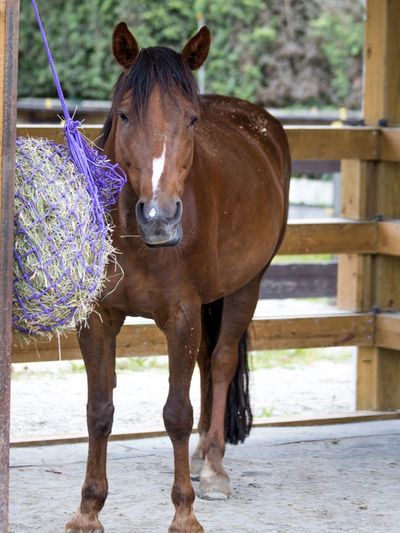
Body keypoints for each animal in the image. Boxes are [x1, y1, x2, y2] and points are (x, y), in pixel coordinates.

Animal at [66, 21, 290, 532]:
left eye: (191, 120)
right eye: (124, 115)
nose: (160, 218)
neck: (136, 240)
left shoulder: (182, 317)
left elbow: (176, 413)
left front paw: (184, 512)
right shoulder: (99, 319)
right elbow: (98, 411)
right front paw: (88, 509)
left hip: (247, 286)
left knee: (222, 362)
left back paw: (213, 469)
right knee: (207, 364)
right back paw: (204, 454)